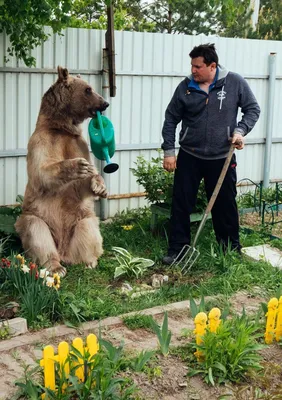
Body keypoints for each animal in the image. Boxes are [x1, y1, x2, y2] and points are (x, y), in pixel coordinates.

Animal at [15, 66, 109, 278]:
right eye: (88, 90)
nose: (105, 103)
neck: (61, 127)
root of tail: (64, 250)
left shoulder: (78, 143)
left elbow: (84, 183)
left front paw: (99, 186)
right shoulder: (42, 141)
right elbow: (40, 171)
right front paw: (77, 166)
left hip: (80, 218)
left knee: (89, 228)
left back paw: (88, 261)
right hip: (37, 218)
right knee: (36, 232)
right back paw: (55, 266)